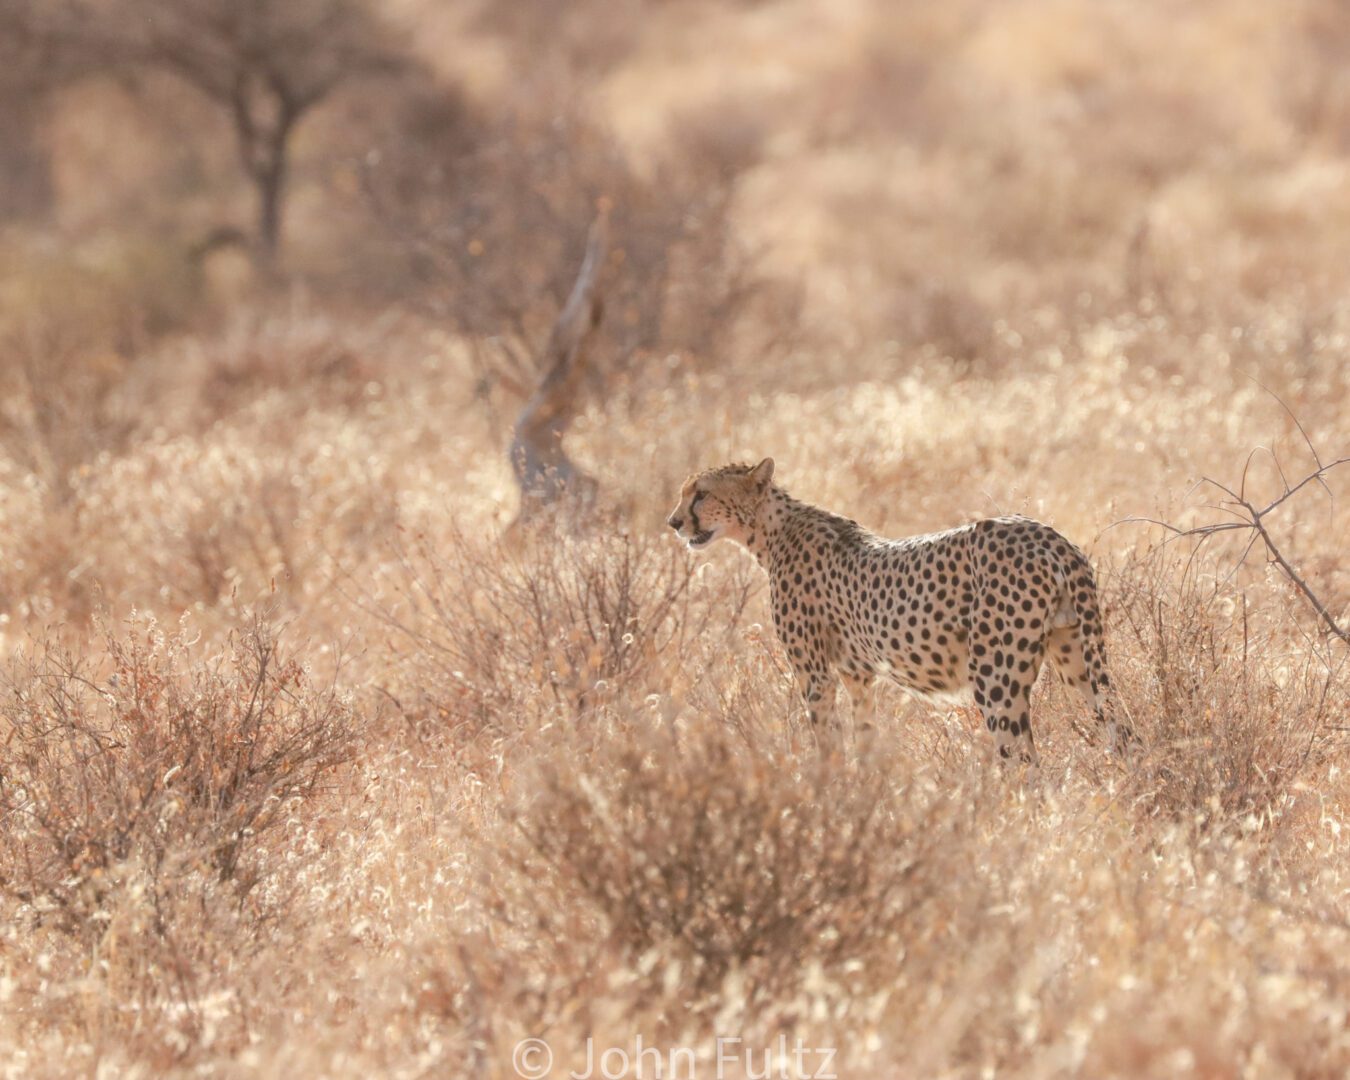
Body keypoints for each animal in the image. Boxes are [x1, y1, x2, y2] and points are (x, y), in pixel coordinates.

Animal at [666, 459, 1128, 761]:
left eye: (701, 494)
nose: (673, 523)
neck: (771, 532)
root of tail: (1050, 535)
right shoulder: (857, 675)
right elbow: (865, 737)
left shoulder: (815, 675)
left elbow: (827, 744)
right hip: (1077, 659)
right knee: (1124, 730)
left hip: (996, 675)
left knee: (1023, 762)